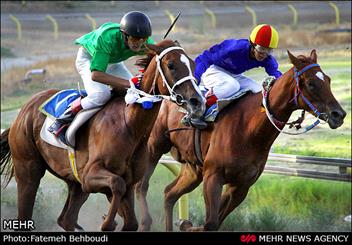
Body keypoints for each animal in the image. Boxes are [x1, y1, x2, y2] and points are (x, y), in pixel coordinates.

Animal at [0, 39, 206, 231]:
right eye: (171, 65)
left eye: (192, 63)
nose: (197, 101)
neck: (130, 126)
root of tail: (24, 109)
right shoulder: (90, 175)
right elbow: (116, 184)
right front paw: (108, 222)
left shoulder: (126, 183)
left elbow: (130, 220)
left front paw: (114, 221)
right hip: (28, 171)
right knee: (26, 211)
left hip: (75, 184)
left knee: (66, 219)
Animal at [135, 48, 346, 231]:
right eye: (310, 83)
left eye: (328, 80)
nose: (339, 114)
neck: (249, 130)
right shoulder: (213, 176)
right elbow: (210, 223)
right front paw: (188, 225)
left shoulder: (241, 186)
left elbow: (216, 222)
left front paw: (187, 225)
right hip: (153, 148)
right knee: (141, 185)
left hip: (193, 170)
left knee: (169, 194)